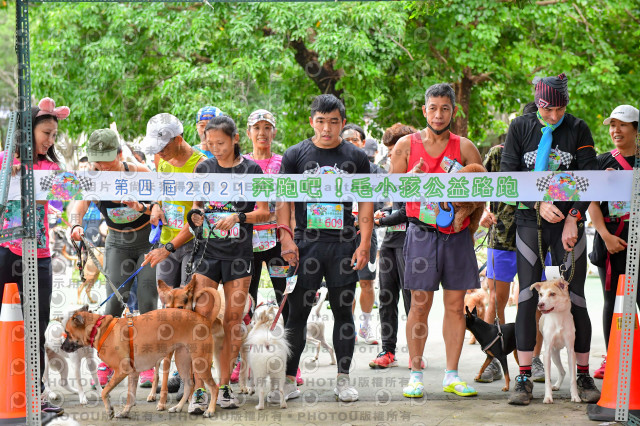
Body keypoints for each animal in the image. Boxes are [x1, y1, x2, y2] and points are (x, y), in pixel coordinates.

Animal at [61, 306, 220, 420]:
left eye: (67, 333)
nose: (62, 347)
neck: (99, 328)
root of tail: (203, 318)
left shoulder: (122, 371)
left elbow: (104, 392)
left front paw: (109, 409)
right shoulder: (133, 373)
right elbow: (130, 397)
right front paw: (125, 412)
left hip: (200, 363)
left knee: (214, 387)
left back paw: (210, 410)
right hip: (183, 360)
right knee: (189, 385)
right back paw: (178, 407)